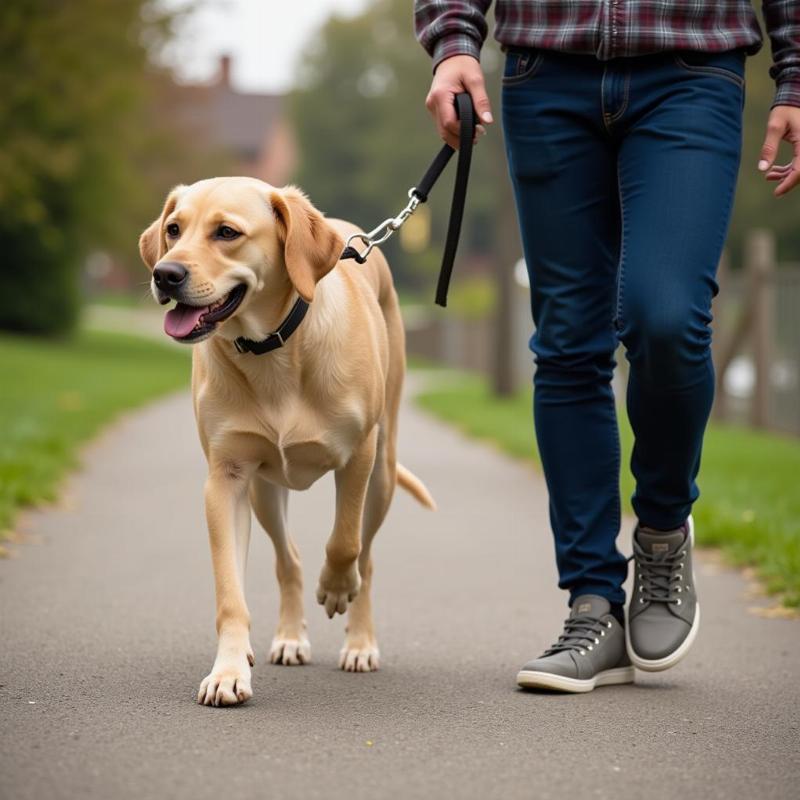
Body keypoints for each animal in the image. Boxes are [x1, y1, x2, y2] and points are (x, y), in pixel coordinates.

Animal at [141, 177, 434, 708]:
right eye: (173, 229)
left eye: (226, 232)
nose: (165, 274)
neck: (272, 351)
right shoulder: (226, 479)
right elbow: (230, 592)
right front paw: (229, 669)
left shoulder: (358, 459)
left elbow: (344, 541)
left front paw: (336, 588)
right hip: (264, 490)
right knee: (288, 559)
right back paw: (291, 637)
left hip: (382, 472)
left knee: (367, 556)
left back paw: (360, 641)